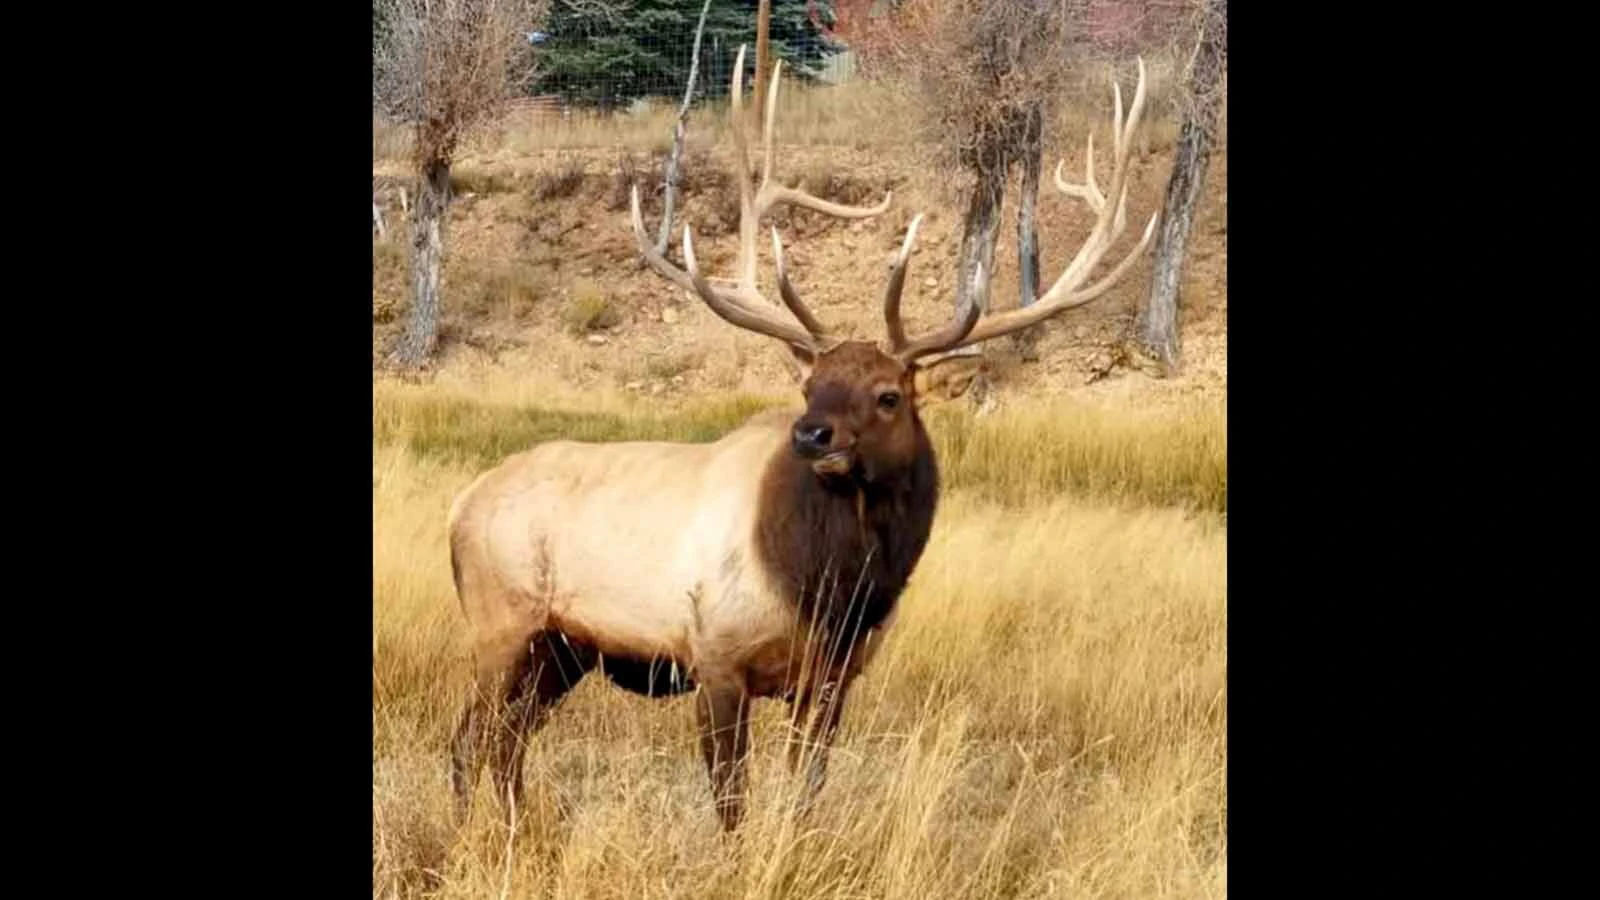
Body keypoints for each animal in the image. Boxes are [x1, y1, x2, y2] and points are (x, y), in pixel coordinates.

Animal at [446, 44, 1156, 833]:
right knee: (468, 741)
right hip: (500, 620)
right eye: (810, 384)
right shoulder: (715, 656)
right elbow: (731, 802)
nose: (811, 434)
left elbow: (807, 793)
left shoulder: (834, 680)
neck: (833, 593)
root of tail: (461, 506)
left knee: (505, 742)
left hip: (563, 649)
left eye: (888, 396)